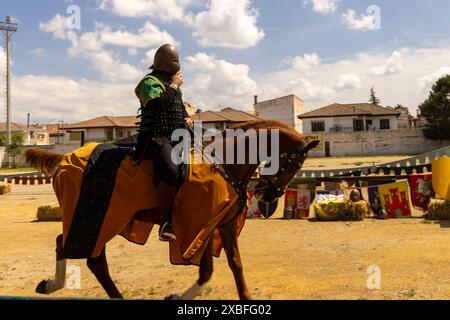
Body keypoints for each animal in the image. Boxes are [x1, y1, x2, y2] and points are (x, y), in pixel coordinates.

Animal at [26, 120, 318, 300]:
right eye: (295, 164)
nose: (270, 195)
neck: (224, 162)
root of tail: (64, 159)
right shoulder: (201, 225)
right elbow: (207, 270)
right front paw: (178, 295)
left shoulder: (222, 225)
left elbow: (236, 264)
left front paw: (246, 296)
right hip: (98, 218)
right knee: (90, 256)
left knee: (68, 245)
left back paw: (52, 284)